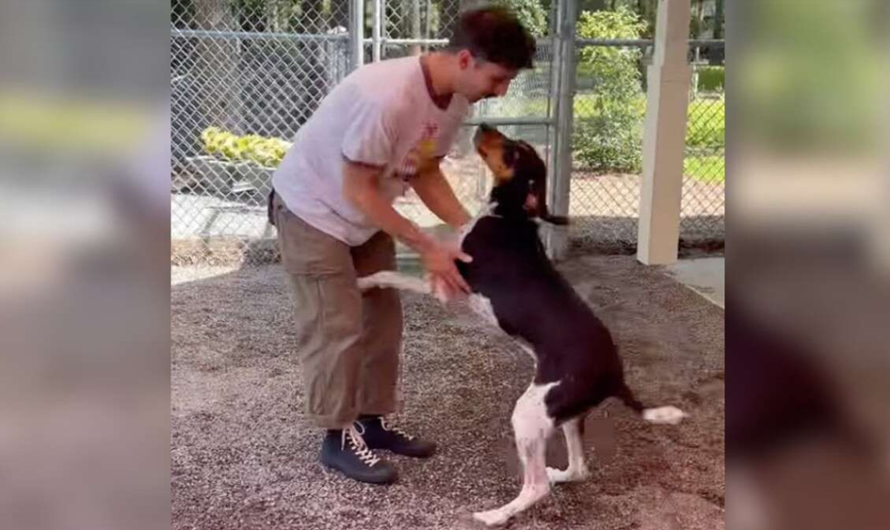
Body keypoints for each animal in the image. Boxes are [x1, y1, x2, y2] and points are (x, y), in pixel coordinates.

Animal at [356, 124, 688, 524]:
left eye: (514, 151)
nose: (483, 126)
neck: (509, 216)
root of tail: (616, 376)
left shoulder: (447, 285)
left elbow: (389, 273)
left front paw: (363, 281)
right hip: (565, 417)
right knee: (578, 469)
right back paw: (558, 474)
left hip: (528, 414)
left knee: (536, 486)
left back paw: (496, 515)